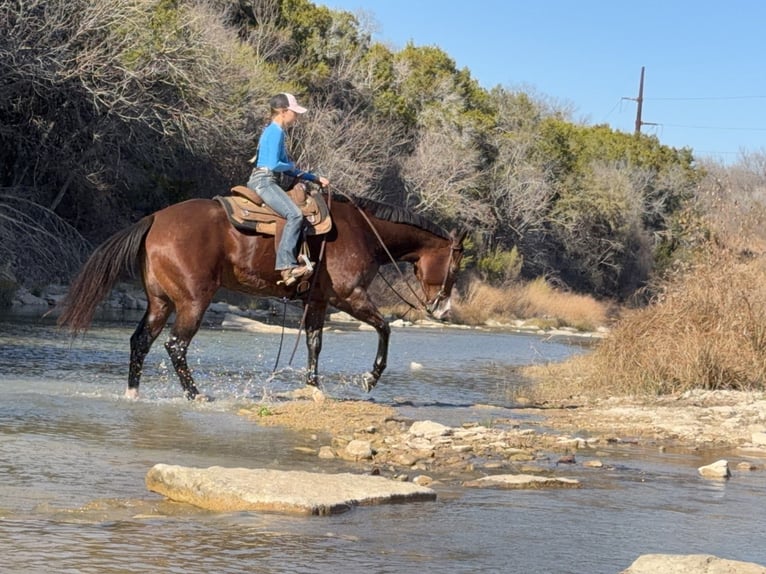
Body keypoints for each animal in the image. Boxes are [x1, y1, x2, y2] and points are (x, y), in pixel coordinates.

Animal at [57, 192, 466, 400]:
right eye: (456, 265)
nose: (443, 309)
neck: (363, 232)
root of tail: (155, 219)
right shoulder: (350, 297)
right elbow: (384, 328)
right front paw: (370, 378)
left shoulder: (318, 301)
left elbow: (315, 343)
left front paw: (314, 387)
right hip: (193, 301)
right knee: (176, 346)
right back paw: (196, 394)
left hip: (161, 302)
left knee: (140, 341)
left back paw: (133, 392)